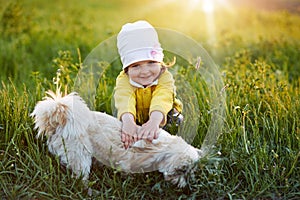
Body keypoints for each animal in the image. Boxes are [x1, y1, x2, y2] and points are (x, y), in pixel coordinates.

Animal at [31, 90, 202, 188]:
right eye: (182, 171)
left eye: (190, 171)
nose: (184, 186)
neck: (161, 149)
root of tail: (61, 122)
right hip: (80, 155)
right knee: (80, 176)